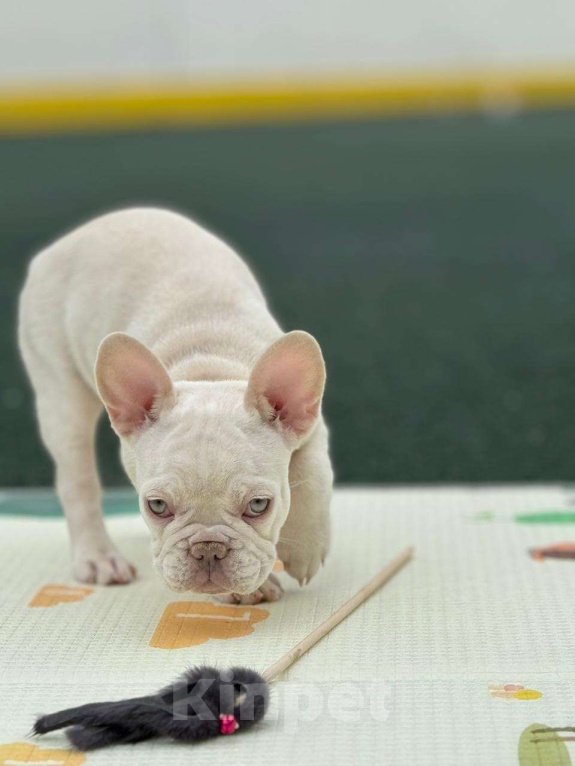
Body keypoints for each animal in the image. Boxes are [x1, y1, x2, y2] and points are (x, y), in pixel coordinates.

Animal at [19, 208, 332, 608]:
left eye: (259, 505)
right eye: (156, 506)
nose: (208, 549)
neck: (209, 369)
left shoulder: (310, 426)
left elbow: (314, 475)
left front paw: (305, 548)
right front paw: (250, 589)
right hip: (60, 393)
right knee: (78, 481)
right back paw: (99, 557)